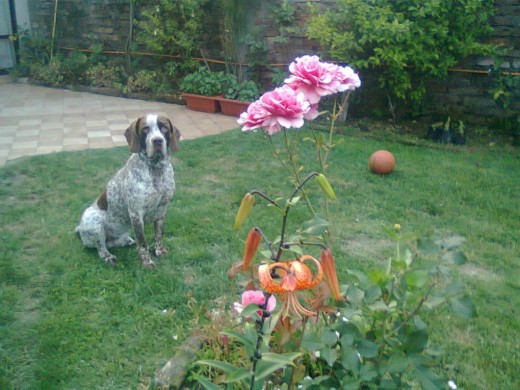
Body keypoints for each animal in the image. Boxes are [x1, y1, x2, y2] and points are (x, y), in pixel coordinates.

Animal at [76, 115, 182, 268]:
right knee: (101, 248)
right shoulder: (136, 214)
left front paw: (159, 251)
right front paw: (147, 262)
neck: (155, 168)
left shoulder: (162, 209)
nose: (157, 141)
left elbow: (158, 234)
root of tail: (79, 229)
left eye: (164, 127)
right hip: (94, 220)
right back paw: (108, 257)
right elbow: (143, 243)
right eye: (145, 129)